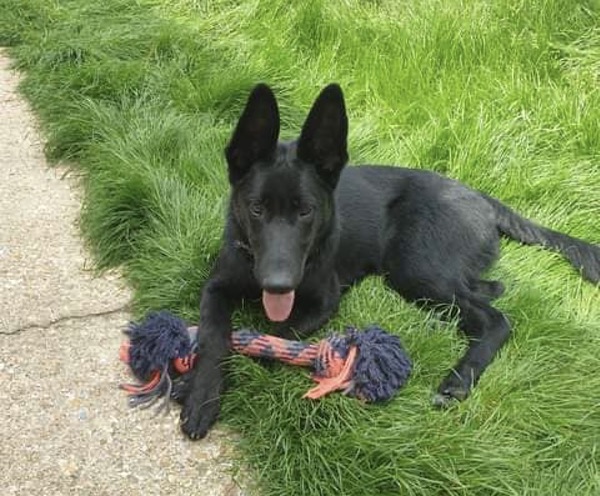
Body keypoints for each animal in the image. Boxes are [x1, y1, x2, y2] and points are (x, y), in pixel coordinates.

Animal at [177, 83, 600, 440]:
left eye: (305, 211)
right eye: (256, 209)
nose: (277, 284)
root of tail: (478, 195)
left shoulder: (324, 301)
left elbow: (273, 335)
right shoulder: (216, 286)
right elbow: (214, 333)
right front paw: (202, 394)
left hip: (414, 266)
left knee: (494, 319)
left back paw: (458, 379)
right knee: (488, 288)